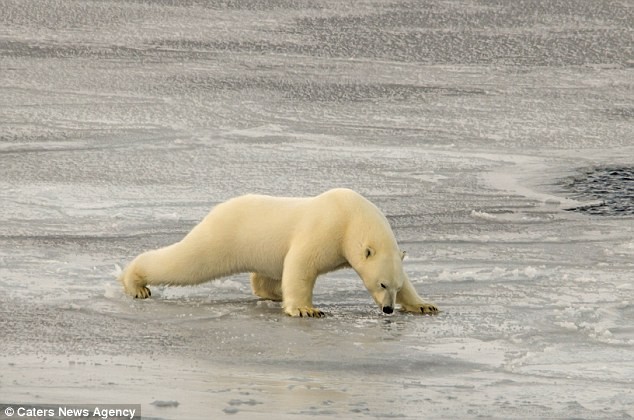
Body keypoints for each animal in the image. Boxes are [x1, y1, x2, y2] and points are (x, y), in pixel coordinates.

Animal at [117, 189, 434, 316]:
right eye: (381, 284)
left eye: (395, 286)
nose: (388, 309)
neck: (351, 217)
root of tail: (217, 210)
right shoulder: (325, 228)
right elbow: (301, 264)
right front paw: (307, 309)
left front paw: (424, 305)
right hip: (223, 236)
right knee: (187, 262)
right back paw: (136, 284)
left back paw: (274, 291)